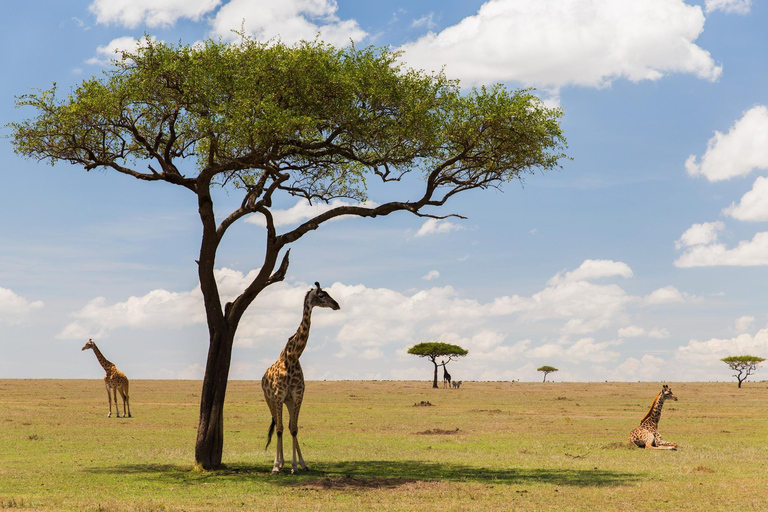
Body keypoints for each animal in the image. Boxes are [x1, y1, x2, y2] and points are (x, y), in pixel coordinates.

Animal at [260, 282, 340, 474]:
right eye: (322, 295)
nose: (336, 305)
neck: (292, 357)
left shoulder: (297, 396)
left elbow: (294, 429)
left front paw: (296, 466)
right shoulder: (279, 396)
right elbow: (280, 429)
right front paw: (276, 466)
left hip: (288, 401)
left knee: (289, 426)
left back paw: (298, 464)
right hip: (270, 400)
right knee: (279, 426)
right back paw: (280, 463)